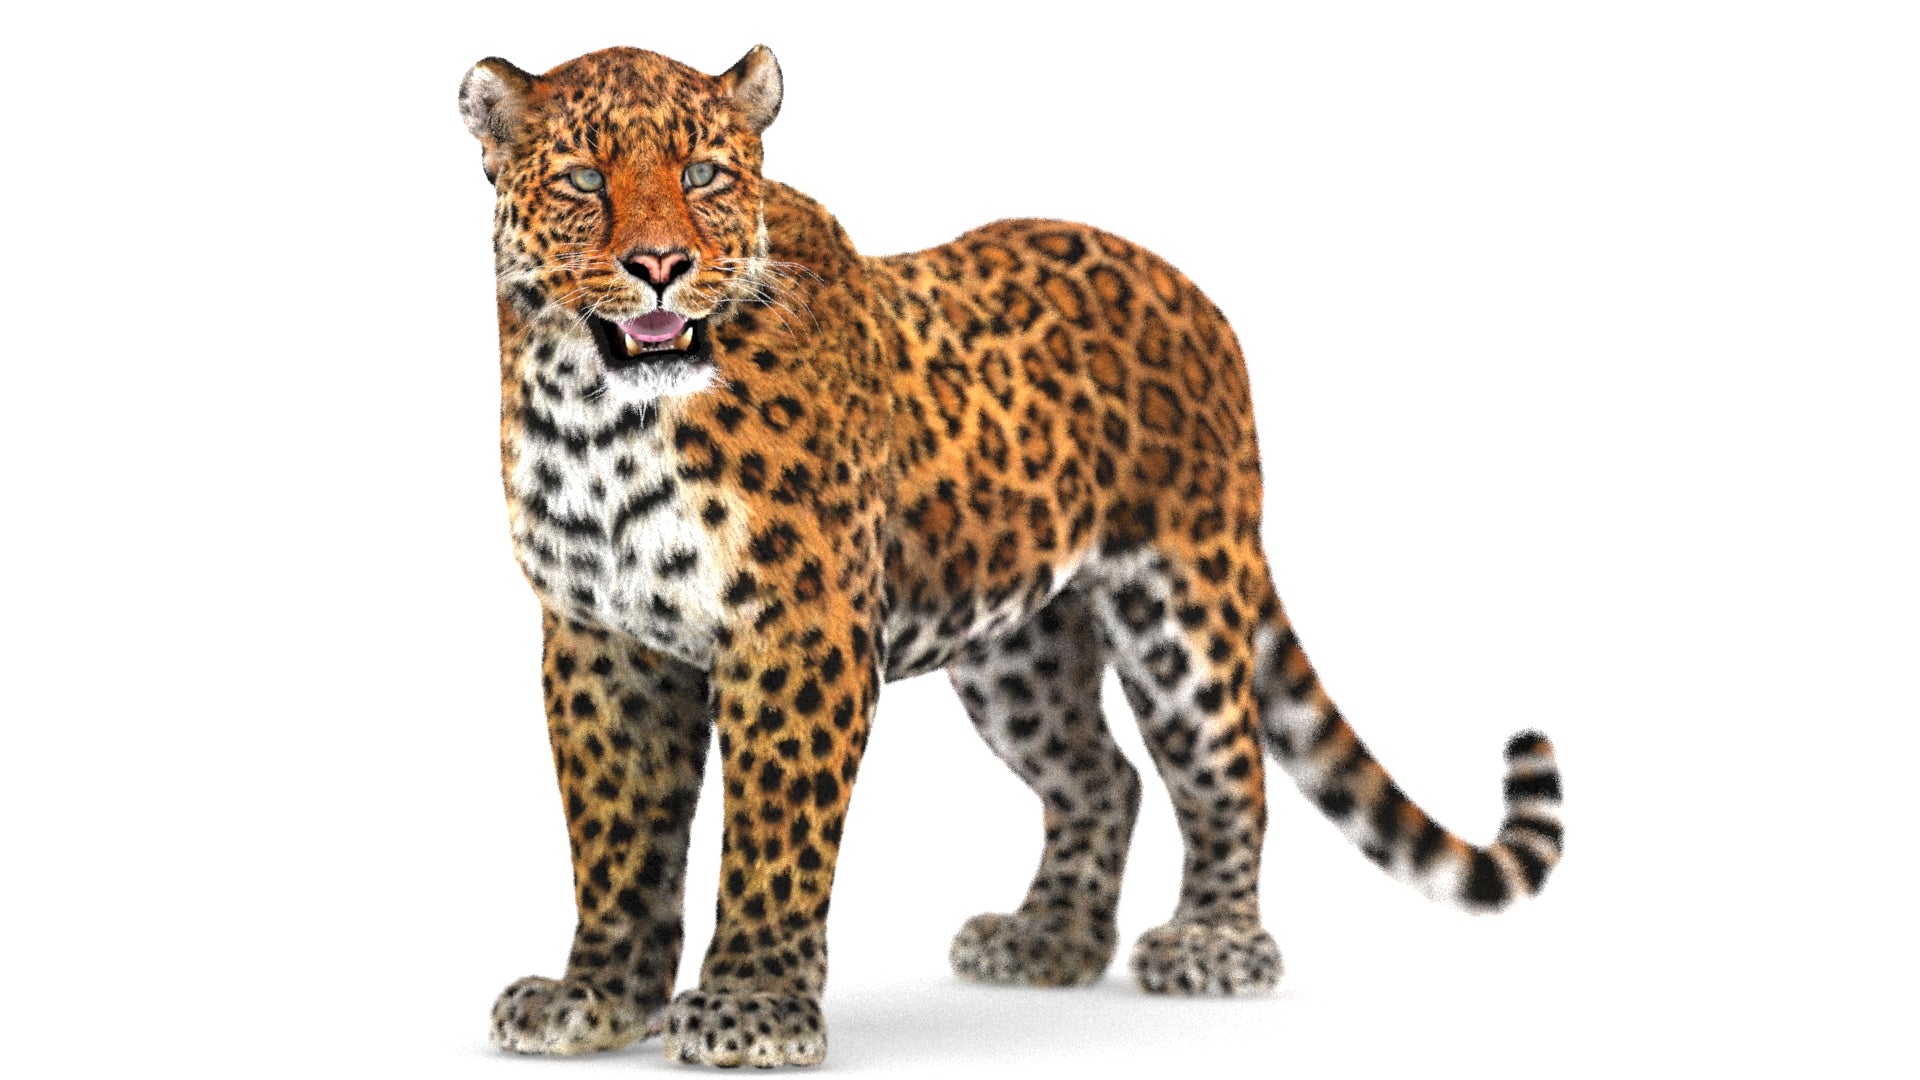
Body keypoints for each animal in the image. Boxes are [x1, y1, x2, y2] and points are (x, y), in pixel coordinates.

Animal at [458, 43, 1565, 1068]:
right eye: (584, 180)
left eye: (703, 176)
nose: (661, 265)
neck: (601, 416)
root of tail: (1188, 290)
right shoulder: (599, 642)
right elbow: (616, 836)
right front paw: (594, 999)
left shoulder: (797, 635)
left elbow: (776, 834)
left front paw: (752, 1007)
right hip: (1015, 647)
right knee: (1103, 778)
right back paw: (1050, 939)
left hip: (1181, 603)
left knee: (1227, 771)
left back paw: (1215, 942)